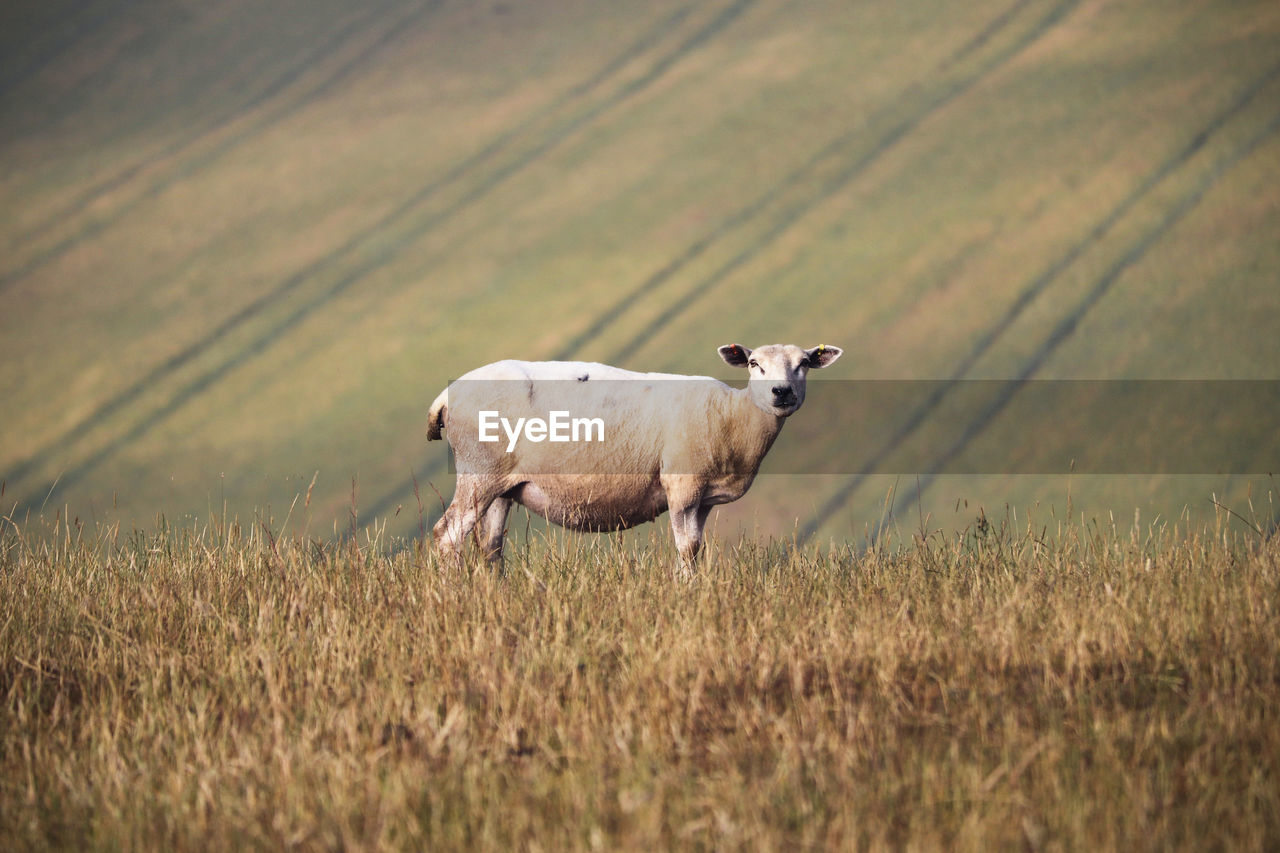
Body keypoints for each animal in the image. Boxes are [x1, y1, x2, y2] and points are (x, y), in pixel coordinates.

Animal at [422, 340, 839, 571]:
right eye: (754, 364)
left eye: (804, 364)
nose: (782, 393)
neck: (732, 416)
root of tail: (445, 397)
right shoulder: (682, 485)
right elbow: (687, 549)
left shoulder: (703, 499)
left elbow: (697, 548)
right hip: (479, 472)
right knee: (447, 537)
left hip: (502, 485)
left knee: (491, 548)